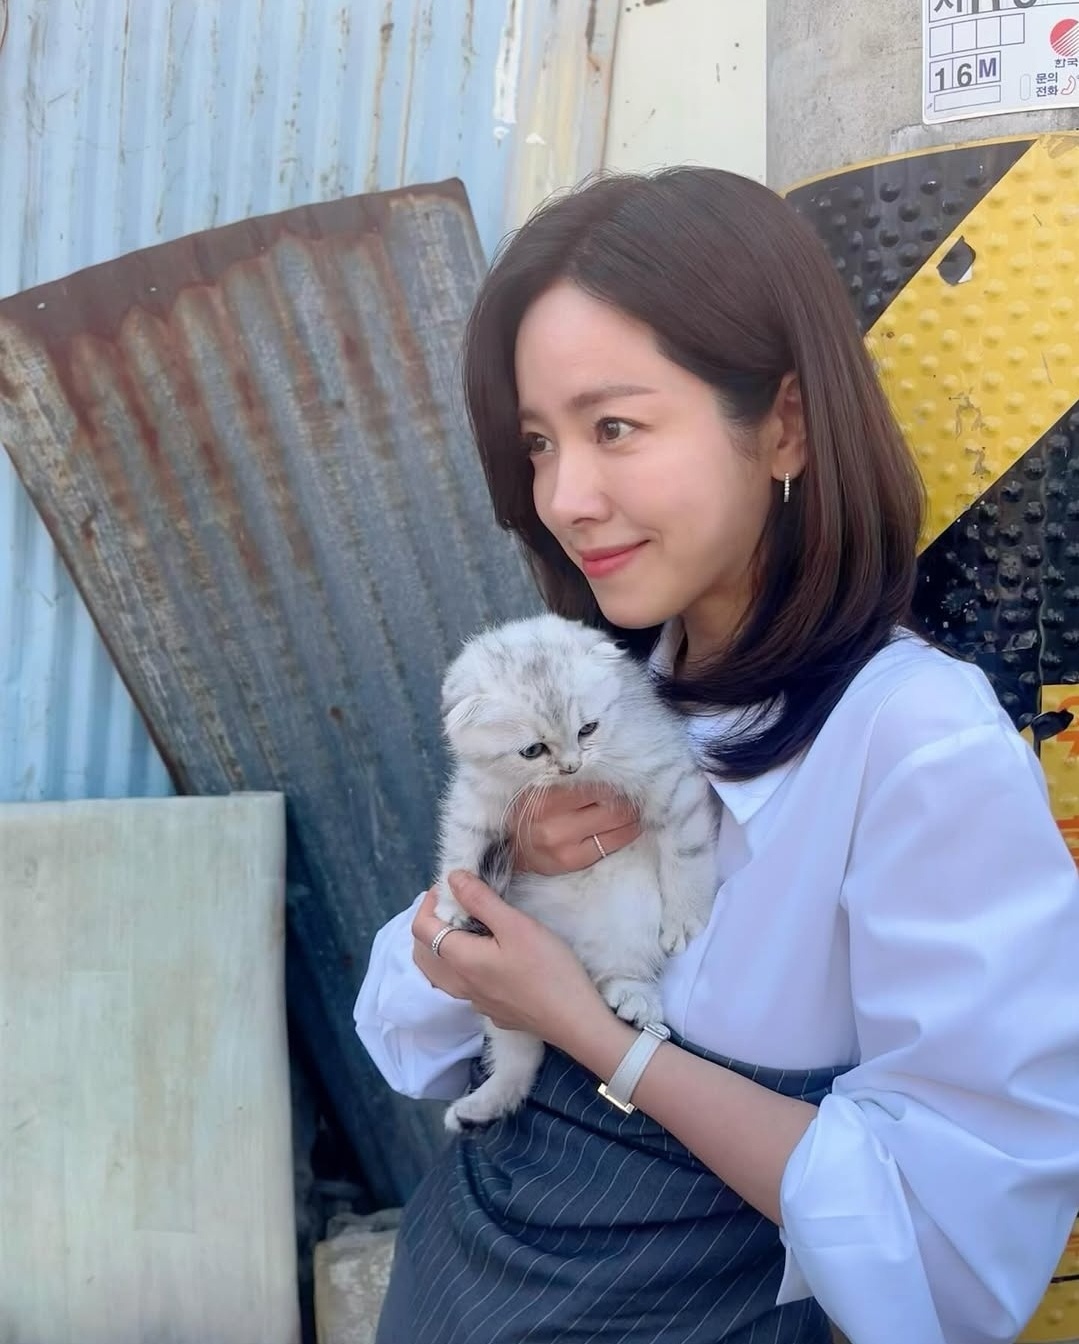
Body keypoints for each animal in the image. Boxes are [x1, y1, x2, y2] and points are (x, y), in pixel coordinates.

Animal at [433, 613, 722, 1132]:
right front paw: (451, 900)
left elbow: (686, 850)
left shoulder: (668, 774)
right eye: (532, 750)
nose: (570, 765)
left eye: (589, 729)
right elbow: (462, 840)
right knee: (520, 1055)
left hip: (629, 916)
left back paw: (633, 998)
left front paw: (687, 916)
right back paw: (482, 1106)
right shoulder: (477, 792)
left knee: (620, 971)